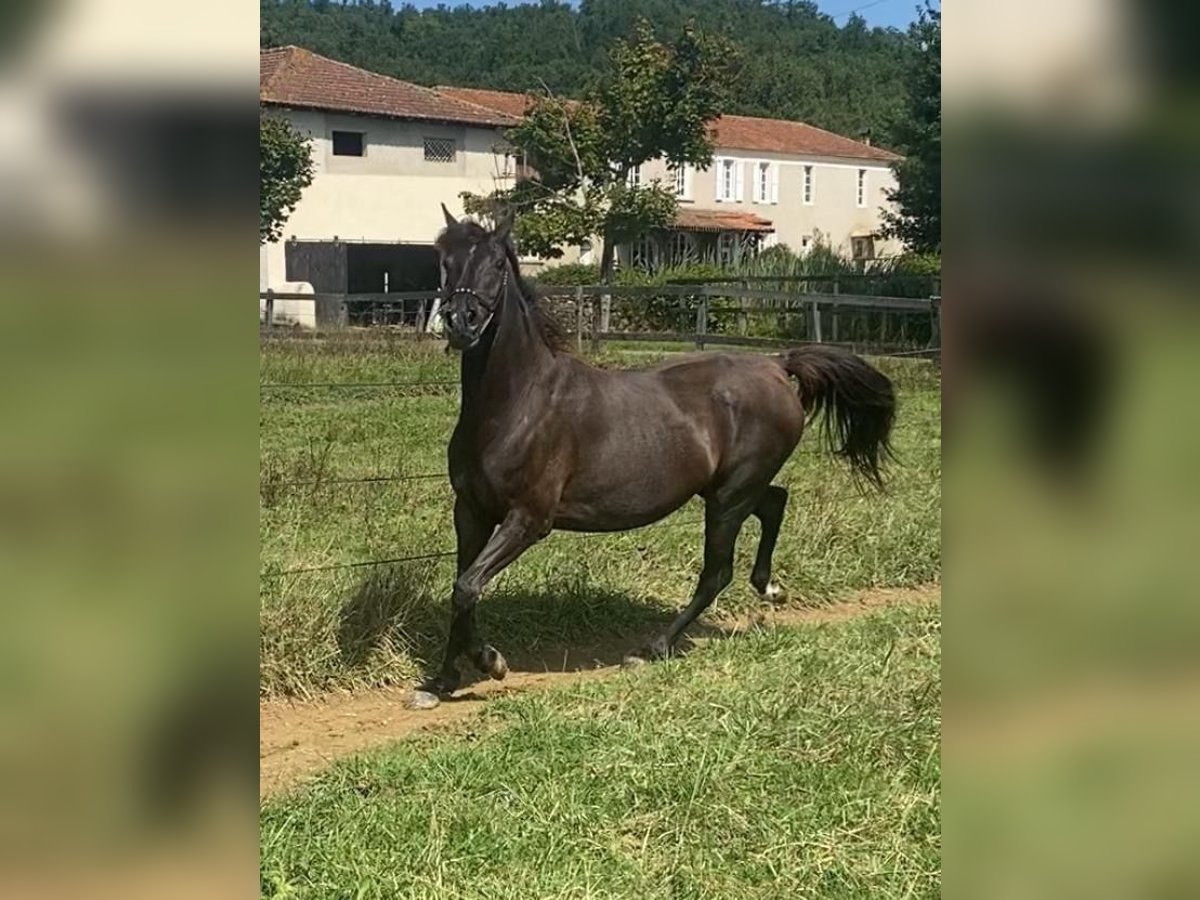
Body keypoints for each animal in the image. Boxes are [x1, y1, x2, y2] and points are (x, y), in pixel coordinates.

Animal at [422, 210, 892, 696]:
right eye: (445, 260)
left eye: (496, 263)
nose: (461, 322)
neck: (519, 404)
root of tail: (777, 365)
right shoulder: (472, 511)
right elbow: (462, 588)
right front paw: (443, 680)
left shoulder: (529, 518)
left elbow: (467, 587)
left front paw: (490, 661)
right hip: (726, 489)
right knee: (776, 502)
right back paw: (769, 588)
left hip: (729, 498)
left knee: (717, 572)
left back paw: (652, 648)